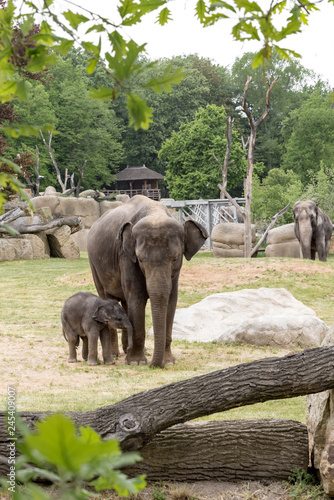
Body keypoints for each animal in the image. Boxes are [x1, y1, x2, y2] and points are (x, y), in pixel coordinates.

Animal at [88, 194, 209, 368]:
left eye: (175, 259)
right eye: (140, 260)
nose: (154, 365)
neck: (155, 212)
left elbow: (171, 300)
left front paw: (169, 362)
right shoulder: (126, 256)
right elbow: (137, 297)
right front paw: (136, 362)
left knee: (125, 304)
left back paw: (130, 350)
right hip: (94, 265)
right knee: (107, 297)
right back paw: (116, 355)